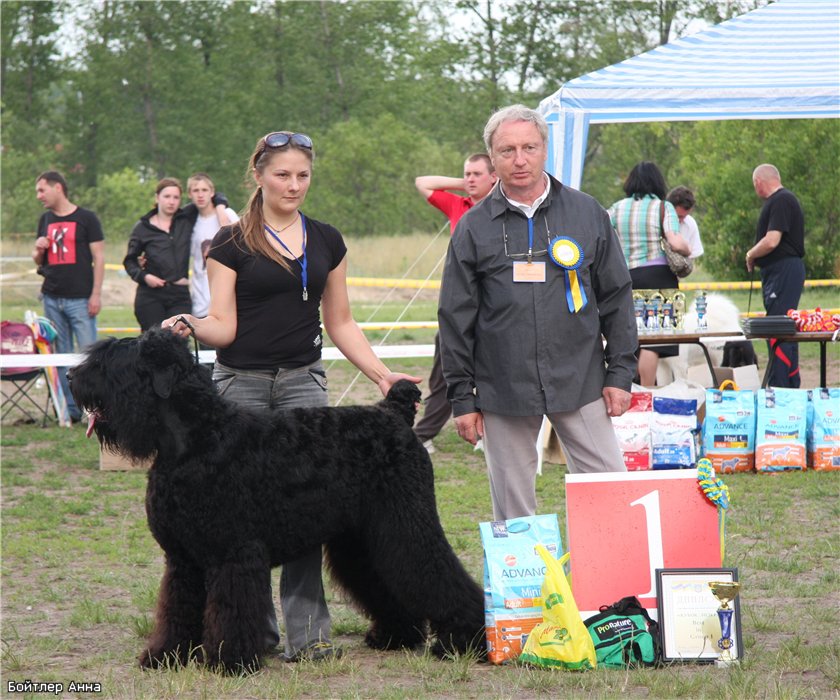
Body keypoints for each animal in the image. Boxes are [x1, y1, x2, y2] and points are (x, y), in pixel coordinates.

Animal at [72, 330, 486, 676]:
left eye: (112, 363)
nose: (75, 379)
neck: (198, 438)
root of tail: (393, 413)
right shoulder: (182, 559)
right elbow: (176, 610)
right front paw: (165, 656)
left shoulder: (233, 554)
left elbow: (230, 609)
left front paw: (229, 662)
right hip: (364, 539)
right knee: (384, 580)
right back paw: (395, 636)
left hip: (406, 524)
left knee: (439, 575)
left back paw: (468, 643)